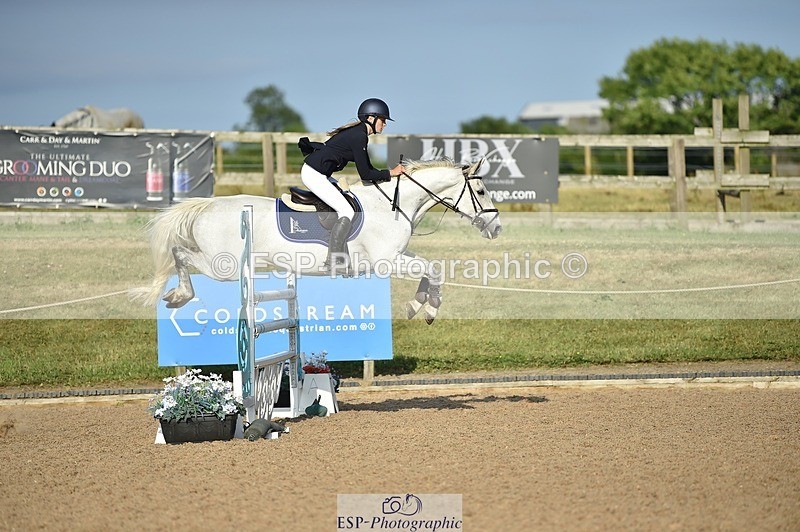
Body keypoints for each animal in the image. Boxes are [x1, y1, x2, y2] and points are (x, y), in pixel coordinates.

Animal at [132, 158, 502, 324]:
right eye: (482, 191)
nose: (496, 228)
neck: (394, 204)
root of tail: (207, 206)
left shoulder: (400, 255)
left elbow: (431, 268)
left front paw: (420, 304)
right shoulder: (386, 263)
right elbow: (433, 269)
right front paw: (427, 308)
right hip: (224, 266)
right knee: (181, 254)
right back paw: (180, 294)